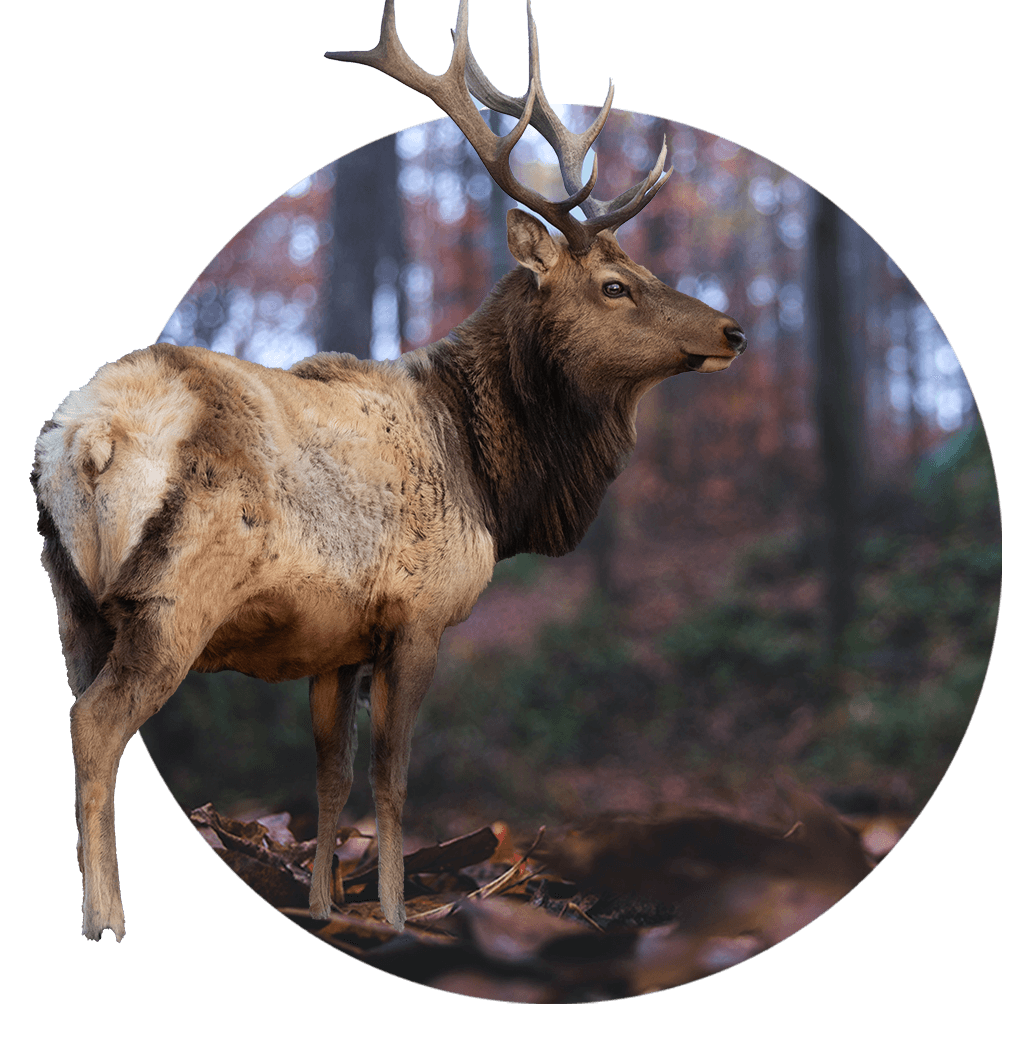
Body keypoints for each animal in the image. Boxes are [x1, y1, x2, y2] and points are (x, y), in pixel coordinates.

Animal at [33, 0, 746, 941]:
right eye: (614, 285)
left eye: (644, 269)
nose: (734, 331)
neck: (490, 482)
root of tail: (86, 439)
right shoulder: (418, 613)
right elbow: (395, 779)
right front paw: (402, 919)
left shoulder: (335, 640)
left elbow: (332, 777)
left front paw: (326, 906)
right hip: (172, 597)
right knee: (99, 724)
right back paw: (105, 916)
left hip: (70, 596)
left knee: (78, 712)